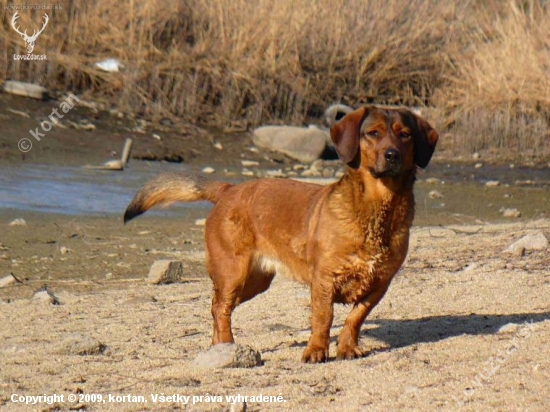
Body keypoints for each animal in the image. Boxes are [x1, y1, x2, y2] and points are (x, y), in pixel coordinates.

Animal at [125, 107, 440, 364]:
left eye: (405, 135)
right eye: (373, 133)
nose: (392, 155)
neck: (377, 210)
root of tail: (229, 189)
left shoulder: (379, 284)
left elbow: (354, 318)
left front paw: (347, 348)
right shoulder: (324, 280)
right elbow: (324, 318)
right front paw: (316, 350)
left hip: (255, 282)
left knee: (218, 308)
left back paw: (218, 347)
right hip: (233, 273)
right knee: (220, 308)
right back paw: (227, 345)